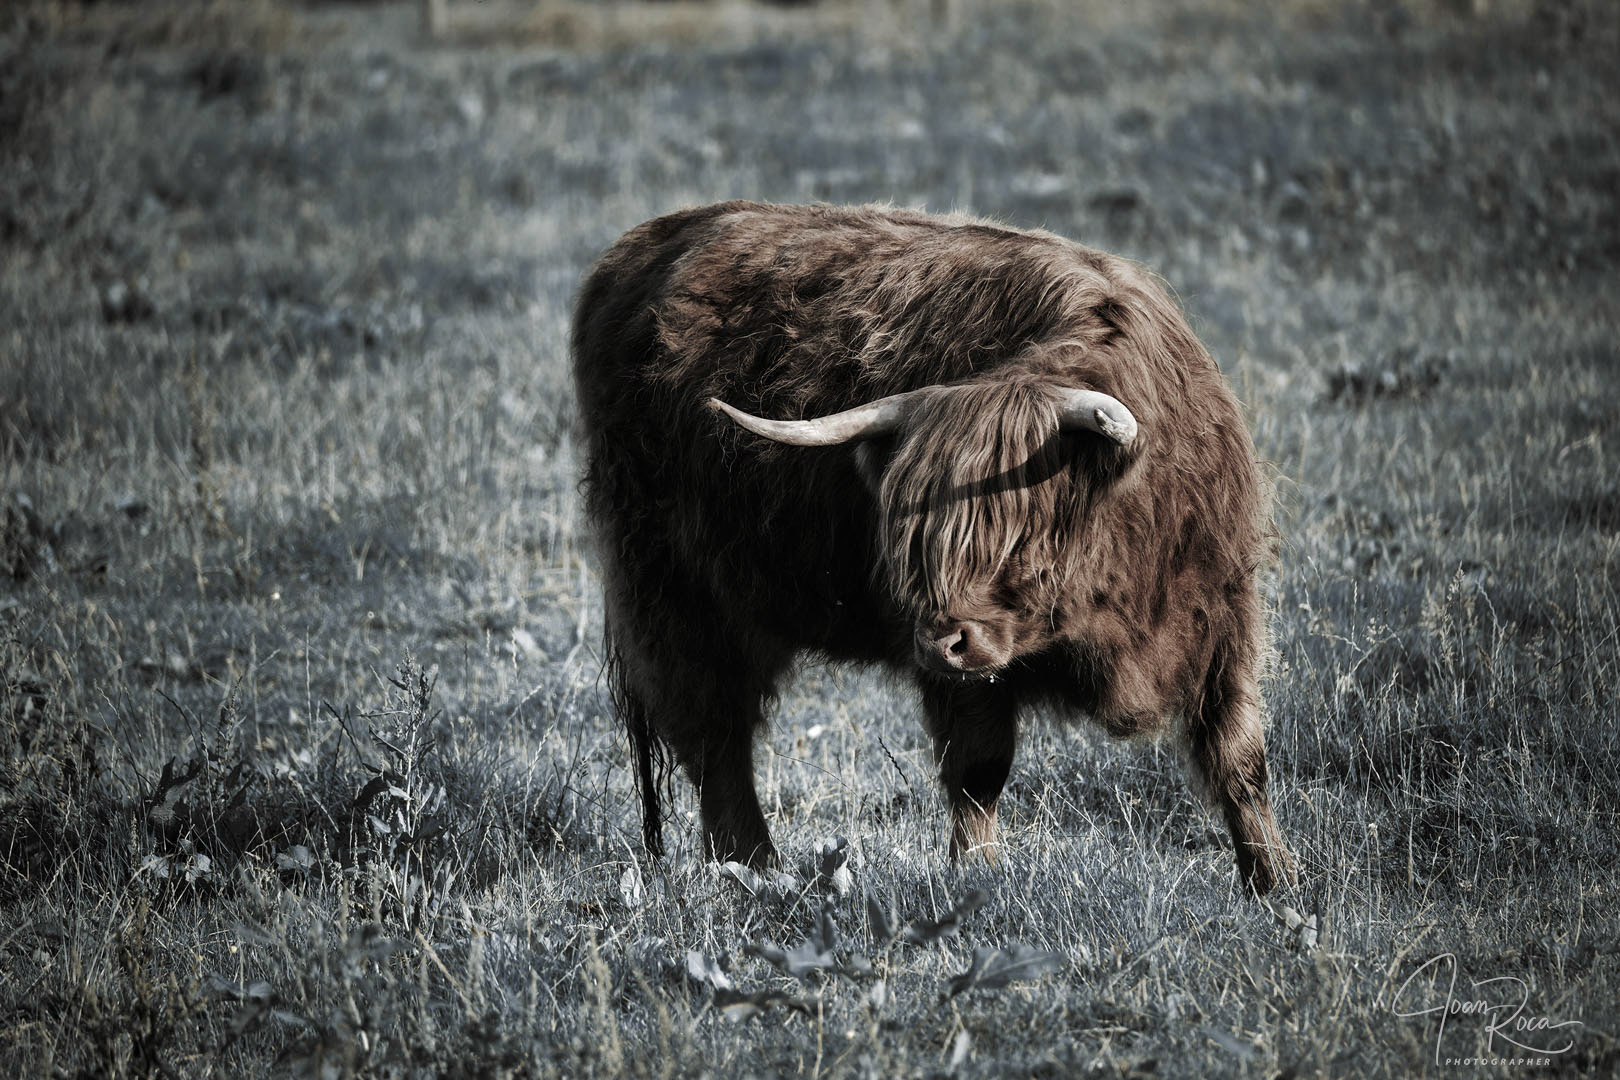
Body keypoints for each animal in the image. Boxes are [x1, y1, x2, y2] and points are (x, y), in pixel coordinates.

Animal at [572, 201, 1293, 895]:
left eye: (1021, 534)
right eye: (915, 541)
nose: (941, 642)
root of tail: (644, 245)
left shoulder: (1224, 616)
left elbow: (1240, 760)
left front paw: (1277, 884)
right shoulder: (966, 677)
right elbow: (978, 768)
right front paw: (978, 874)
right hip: (673, 594)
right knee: (714, 733)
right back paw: (751, 867)